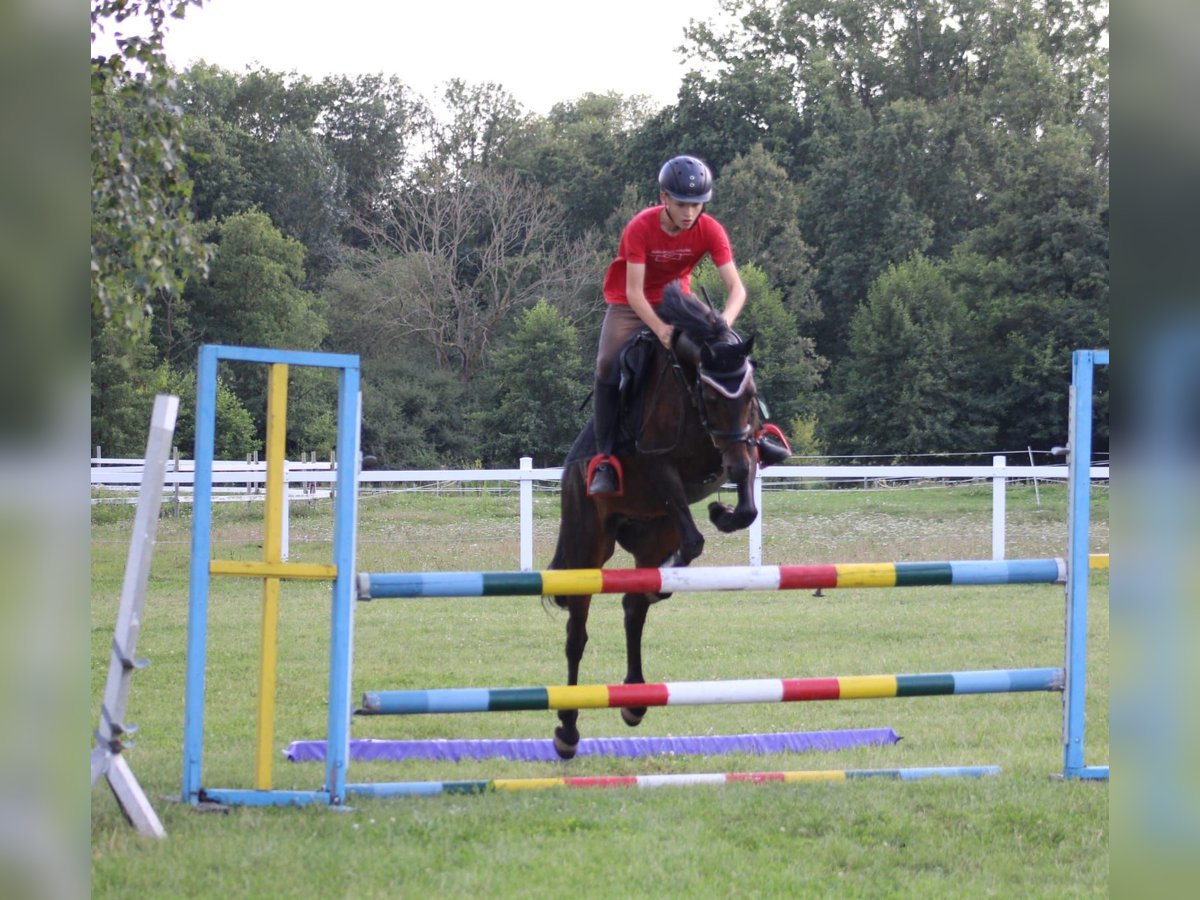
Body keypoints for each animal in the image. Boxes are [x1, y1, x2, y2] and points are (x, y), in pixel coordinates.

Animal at [549, 282, 772, 763]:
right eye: (711, 397)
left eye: (749, 396)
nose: (729, 457)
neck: (686, 386)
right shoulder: (659, 466)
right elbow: (695, 540)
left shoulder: (742, 449)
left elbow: (746, 504)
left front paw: (723, 513)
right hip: (588, 543)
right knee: (577, 632)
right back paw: (568, 729)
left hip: (653, 531)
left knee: (634, 607)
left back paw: (635, 698)